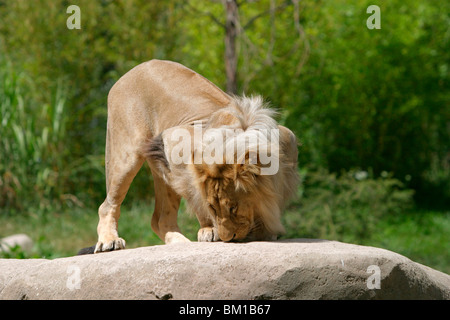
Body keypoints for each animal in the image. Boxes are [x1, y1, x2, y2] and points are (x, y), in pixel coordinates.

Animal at [78, 60, 298, 255]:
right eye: (213, 207)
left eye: (234, 208)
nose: (228, 238)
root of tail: (128, 73)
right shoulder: (173, 141)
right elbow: (195, 192)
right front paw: (210, 229)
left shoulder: (289, 140)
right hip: (126, 156)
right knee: (107, 205)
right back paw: (110, 241)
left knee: (160, 219)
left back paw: (182, 242)